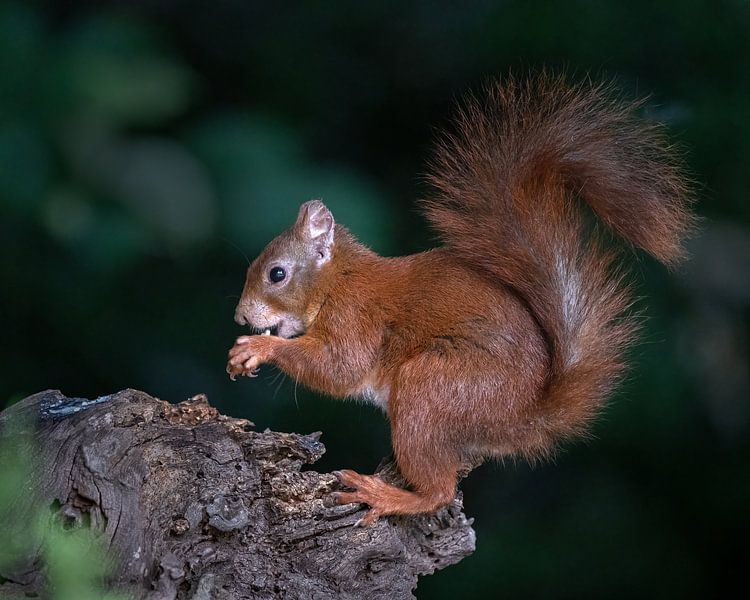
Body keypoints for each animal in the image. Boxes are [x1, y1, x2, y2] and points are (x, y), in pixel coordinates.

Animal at [226, 74, 696, 524]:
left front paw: (258, 348)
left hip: (436, 388)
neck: (337, 282)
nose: (240, 317)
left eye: (277, 274)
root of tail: (523, 417)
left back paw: (386, 495)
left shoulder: (356, 316)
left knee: (439, 491)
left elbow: (341, 367)